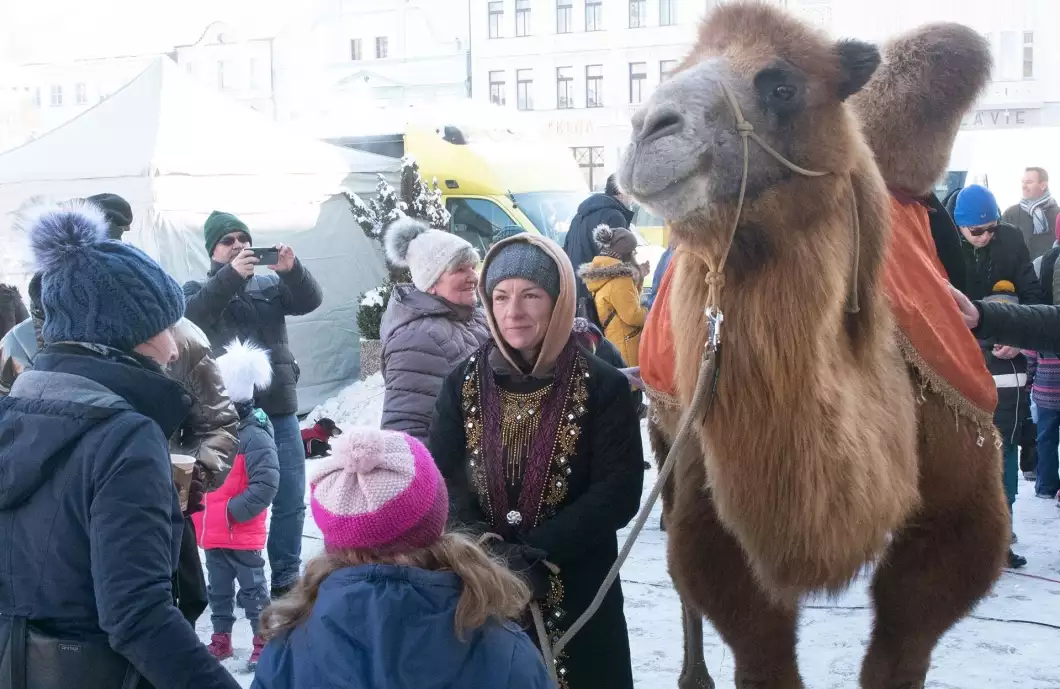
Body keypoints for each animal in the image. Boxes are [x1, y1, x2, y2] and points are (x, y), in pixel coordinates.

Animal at [619, 5, 1009, 686]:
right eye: (678, 69)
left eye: (783, 86)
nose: (648, 128)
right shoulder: (714, 496)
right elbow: (751, 634)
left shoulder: (965, 503)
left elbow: (901, 646)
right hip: (665, 425)